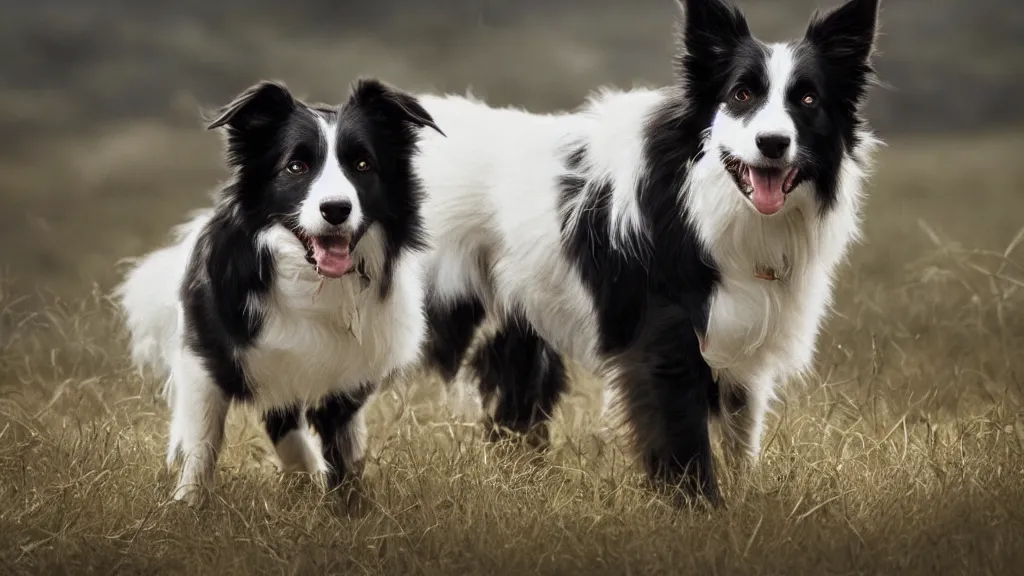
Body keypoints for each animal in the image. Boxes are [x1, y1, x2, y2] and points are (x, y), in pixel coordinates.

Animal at [117, 77, 444, 502]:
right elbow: (205, 436)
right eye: (296, 166)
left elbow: (341, 447)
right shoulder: (208, 351)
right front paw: (187, 502)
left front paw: (346, 500)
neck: (310, 279)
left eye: (362, 165)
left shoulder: (349, 372)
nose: (336, 209)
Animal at [415, 0, 880, 502]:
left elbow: (740, 440)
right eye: (740, 94)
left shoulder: (741, 343)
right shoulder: (665, 343)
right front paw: (700, 509)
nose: (772, 143)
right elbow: (684, 443)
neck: (703, 206)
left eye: (808, 100)